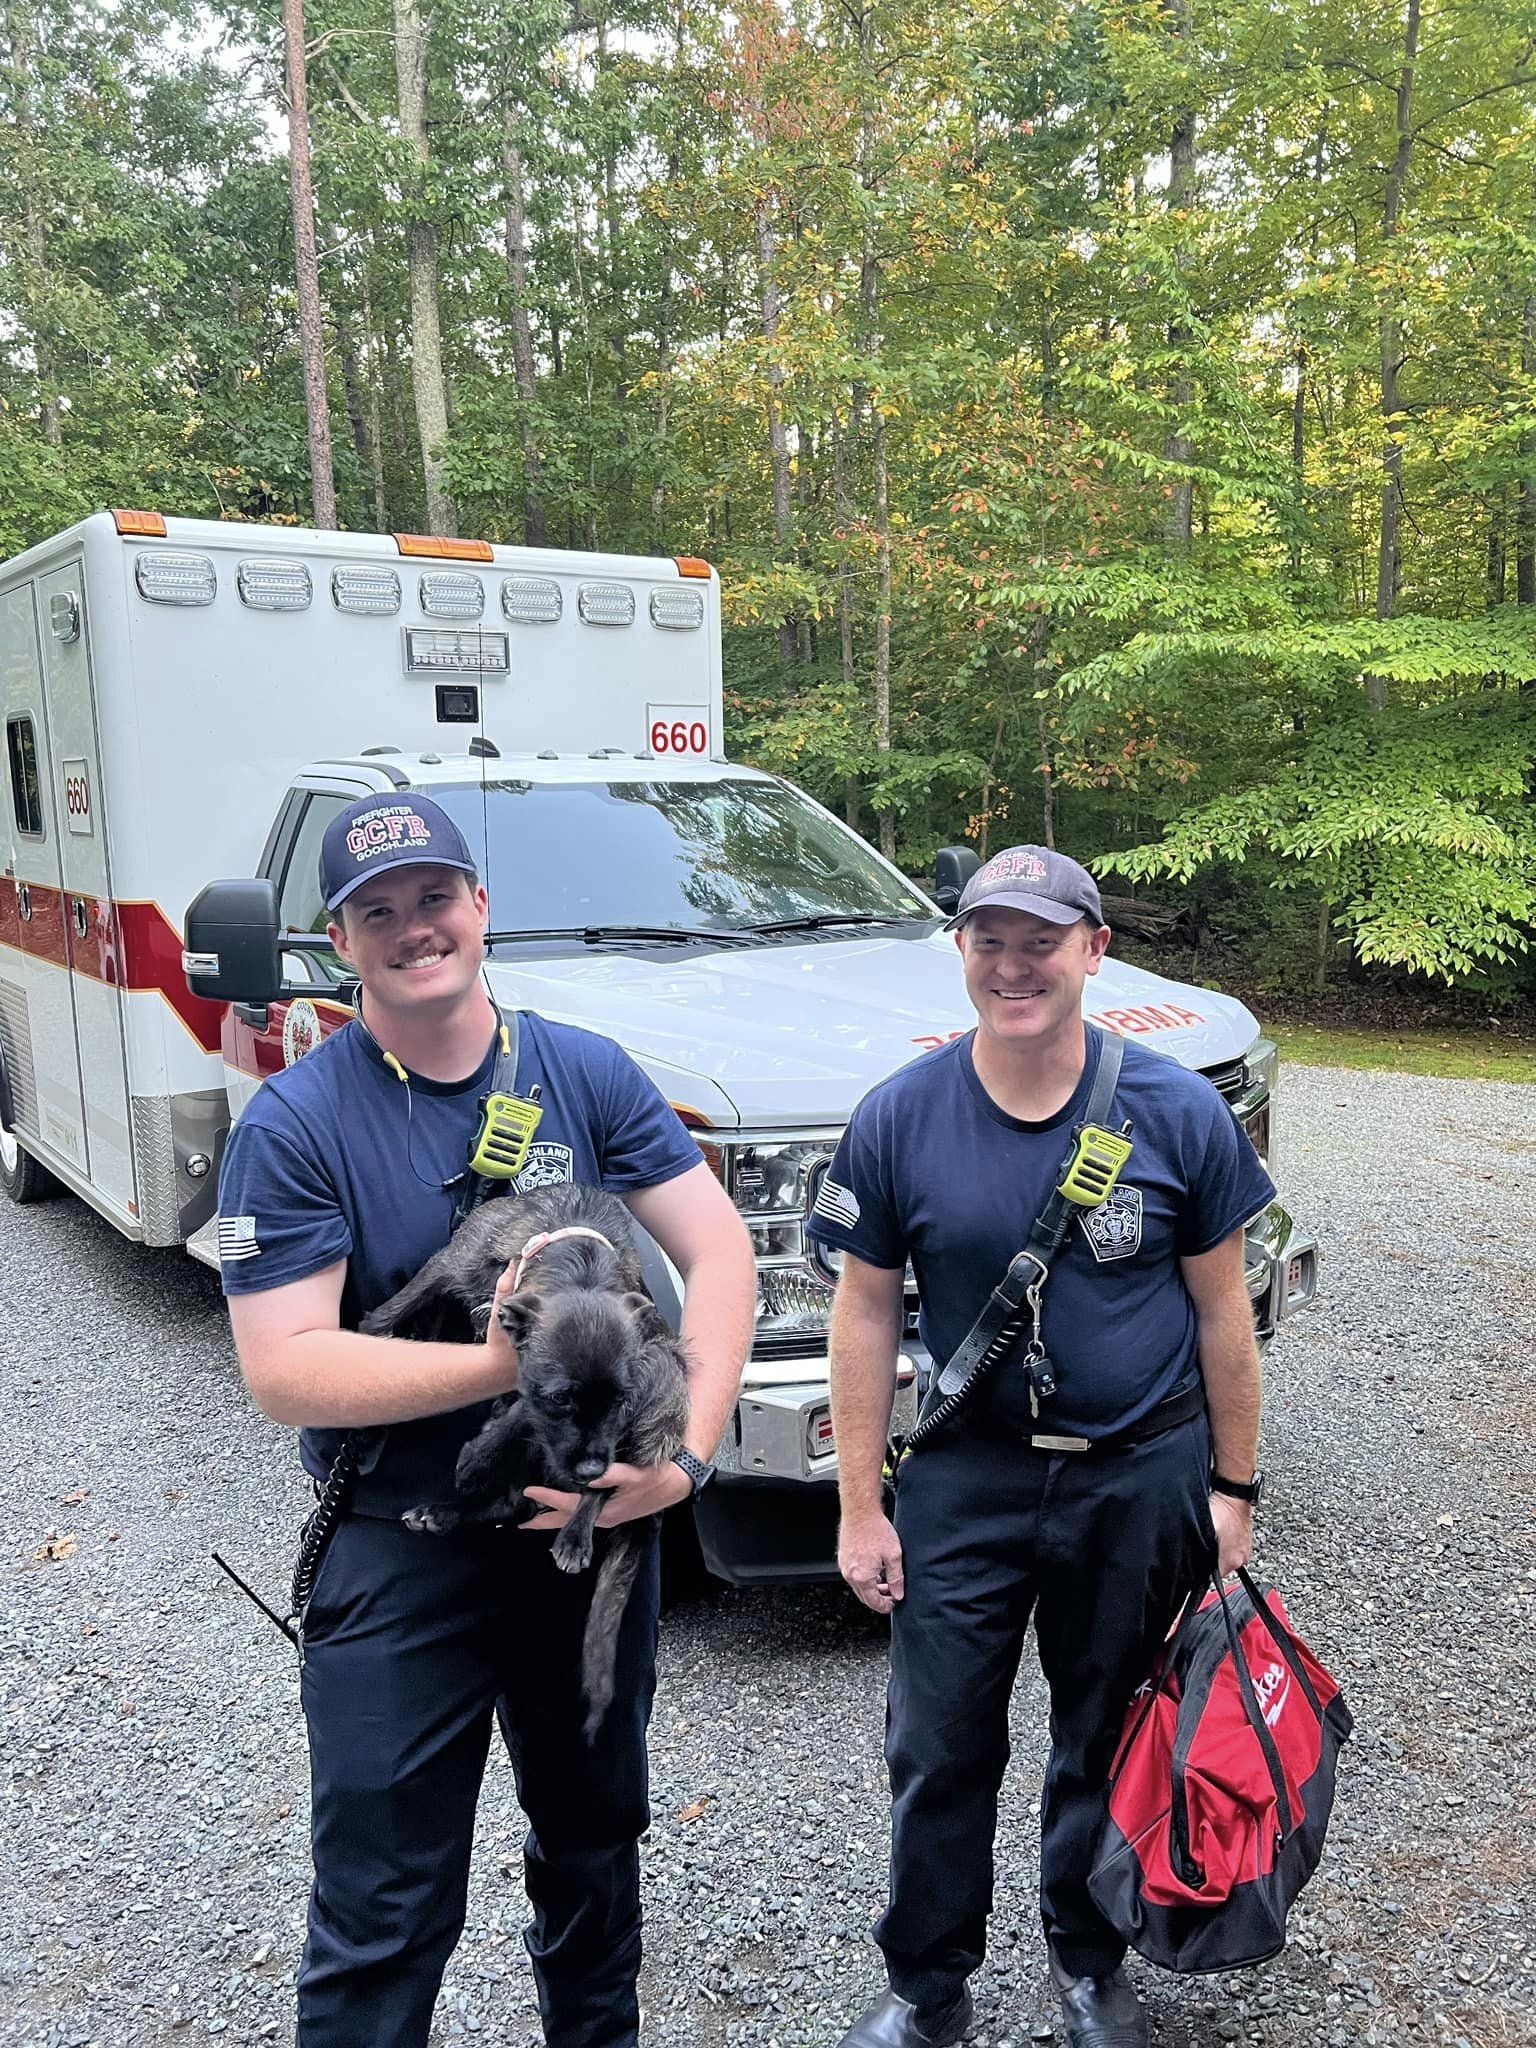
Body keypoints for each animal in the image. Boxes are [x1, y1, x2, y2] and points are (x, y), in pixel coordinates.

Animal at [360, 1196, 684, 1736]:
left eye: (620, 1400)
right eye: (562, 1399)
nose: (590, 1469)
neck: (579, 1263)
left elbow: (520, 1411)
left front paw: (477, 1457)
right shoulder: (449, 1266)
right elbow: (393, 1313)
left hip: (659, 1380)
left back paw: (572, 1531)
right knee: (514, 1504)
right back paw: (442, 1512)